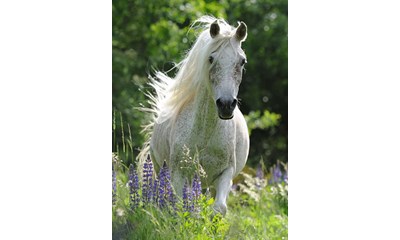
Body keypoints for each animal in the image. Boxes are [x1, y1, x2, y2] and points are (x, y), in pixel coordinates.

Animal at [139, 16, 248, 216]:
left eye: (242, 61)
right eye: (211, 58)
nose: (226, 105)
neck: (205, 133)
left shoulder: (225, 173)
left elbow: (219, 208)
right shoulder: (179, 174)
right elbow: (180, 207)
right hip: (161, 170)